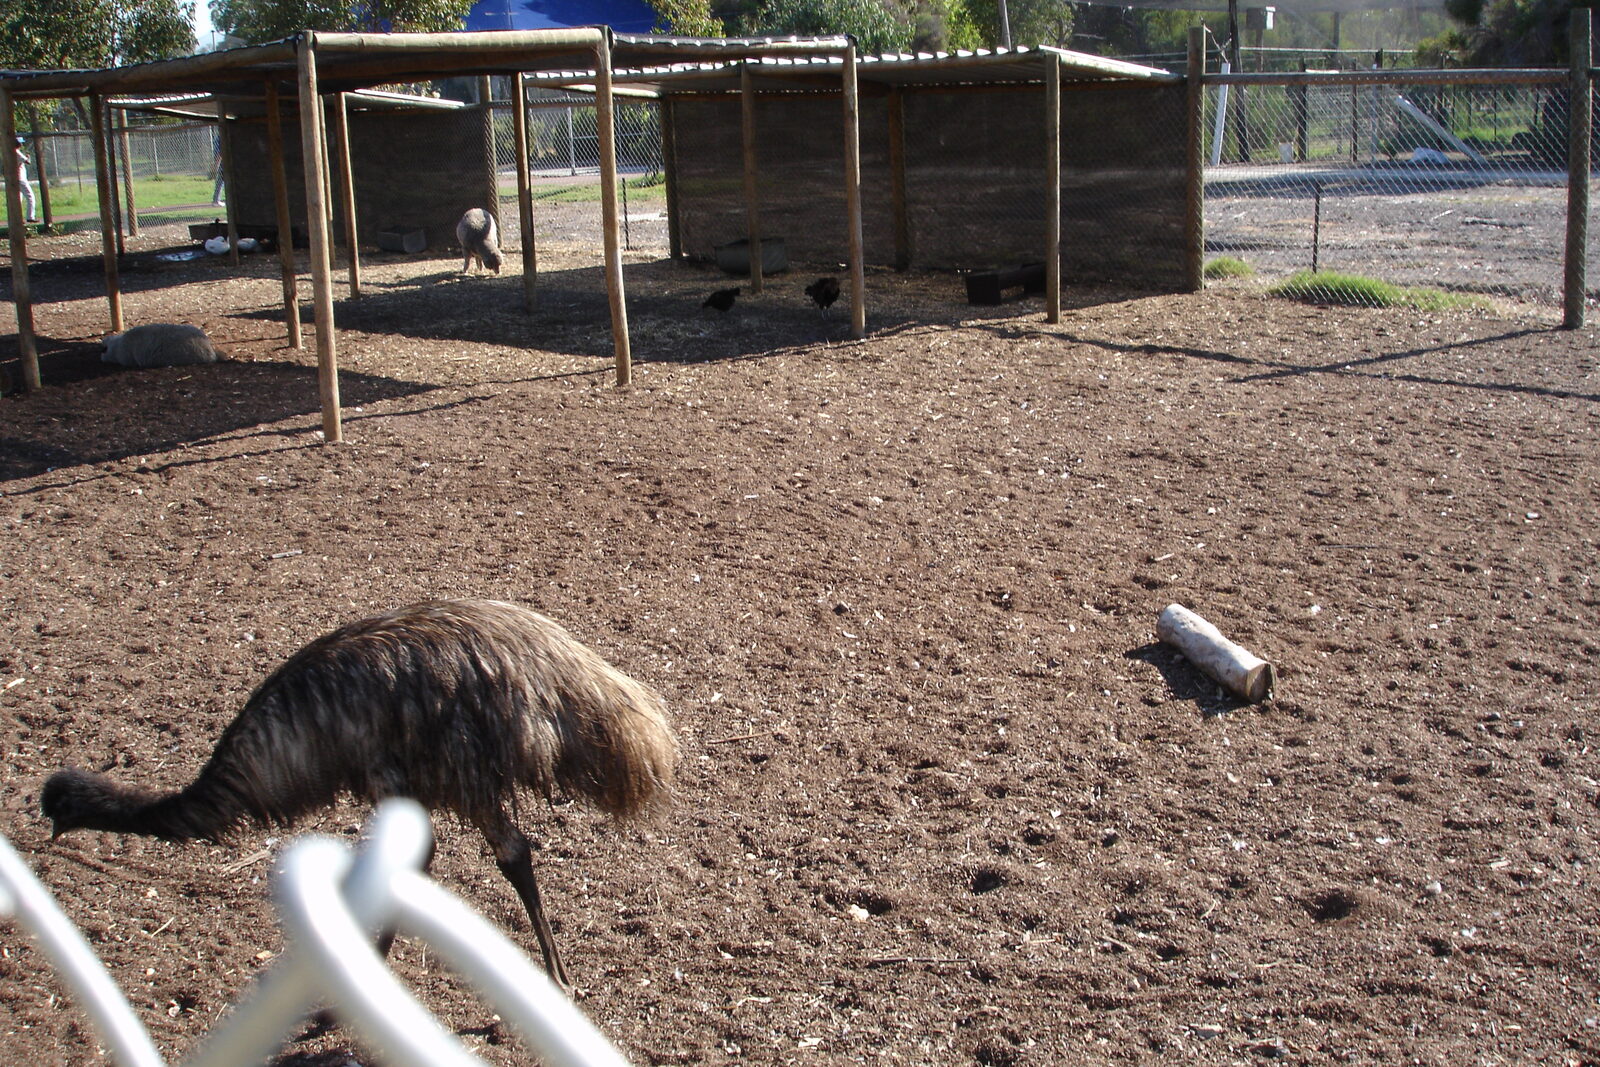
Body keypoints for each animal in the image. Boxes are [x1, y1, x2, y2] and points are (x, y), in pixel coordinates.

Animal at [40, 599, 676, 991]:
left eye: (54, 806)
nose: (45, 838)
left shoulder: (379, 771)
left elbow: (416, 858)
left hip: (456, 768)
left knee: (513, 850)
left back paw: (557, 977)